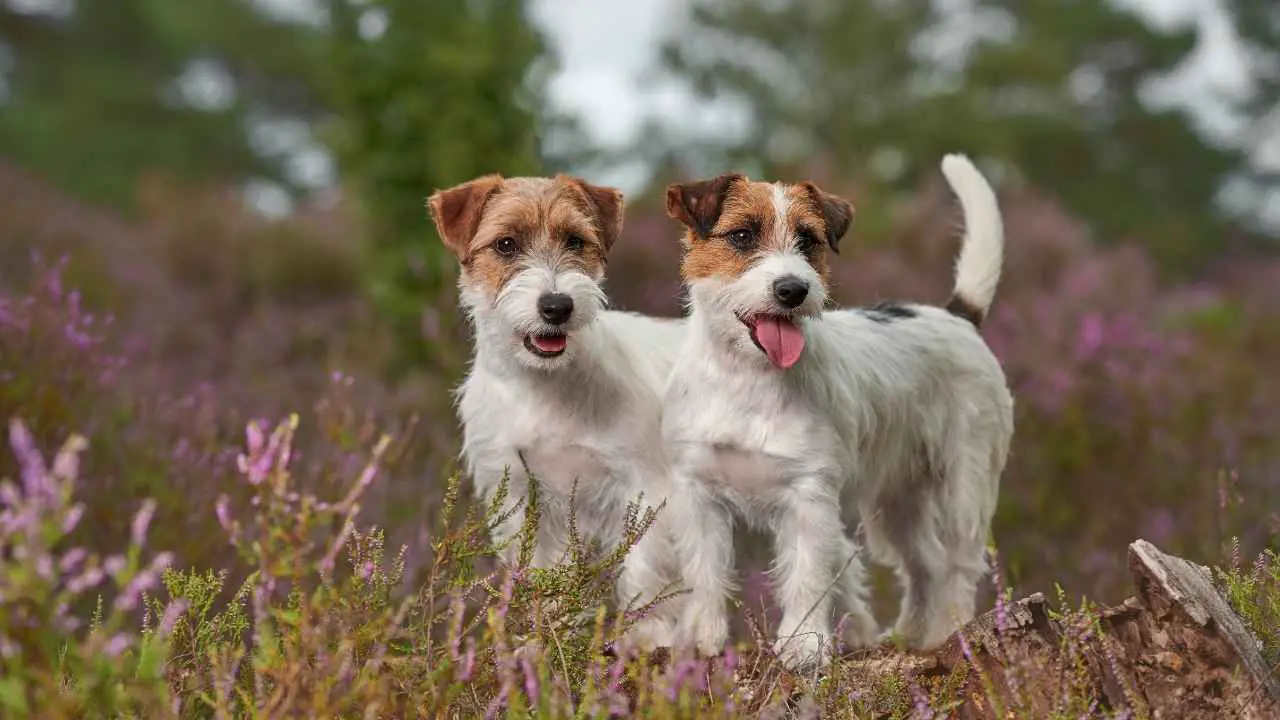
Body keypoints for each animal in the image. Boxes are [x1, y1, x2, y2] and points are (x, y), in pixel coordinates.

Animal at [430, 172, 691, 645]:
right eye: (506, 244)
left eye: (575, 240)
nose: (557, 306)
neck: (543, 387)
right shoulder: (521, 497)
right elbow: (542, 575)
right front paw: (549, 637)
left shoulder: (645, 490)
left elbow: (645, 576)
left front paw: (647, 640)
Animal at [660, 152, 1008, 666]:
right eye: (742, 235)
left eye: (808, 239)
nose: (792, 289)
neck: (747, 379)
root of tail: (956, 316)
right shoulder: (699, 494)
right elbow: (705, 575)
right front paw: (701, 640)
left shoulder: (808, 497)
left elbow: (807, 576)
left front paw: (804, 645)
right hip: (896, 501)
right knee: (925, 563)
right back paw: (909, 636)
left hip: (964, 485)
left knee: (959, 563)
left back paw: (953, 631)